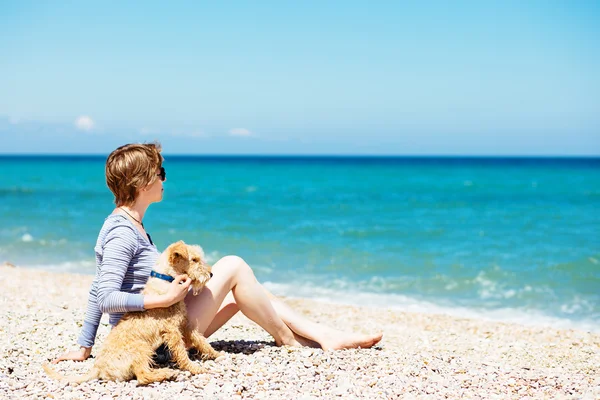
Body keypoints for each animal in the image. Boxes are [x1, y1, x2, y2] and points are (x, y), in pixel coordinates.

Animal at [42, 241, 220, 384]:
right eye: (194, 260)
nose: (211, 274)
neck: (166, 280)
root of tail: (97, 368)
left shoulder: (185, 325)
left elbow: (200, 339)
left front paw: (216, 354)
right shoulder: (172, 331)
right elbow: (182, 352)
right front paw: (195, 368)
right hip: (141, 347)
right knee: (142, 376)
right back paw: (167, 373)